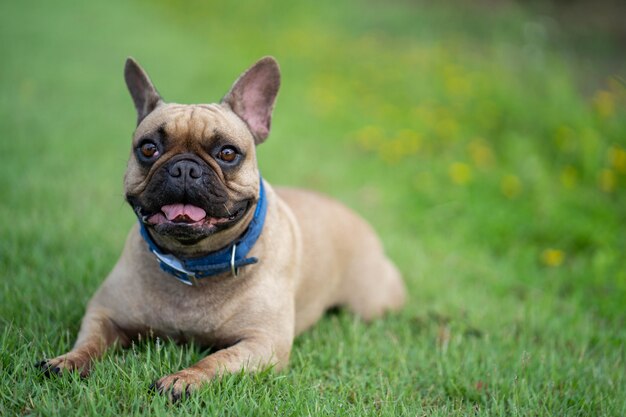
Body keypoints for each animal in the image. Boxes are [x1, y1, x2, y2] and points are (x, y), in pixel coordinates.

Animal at [40, 56, 404, 400]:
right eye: (148, 148)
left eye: (227, 153)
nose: (184, 168)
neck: (193, 262)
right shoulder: (104, 313)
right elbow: (91, 340)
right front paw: (67, 360)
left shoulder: (262, 343)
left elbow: (217, 359)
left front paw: (183, 379)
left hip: (372, 304)